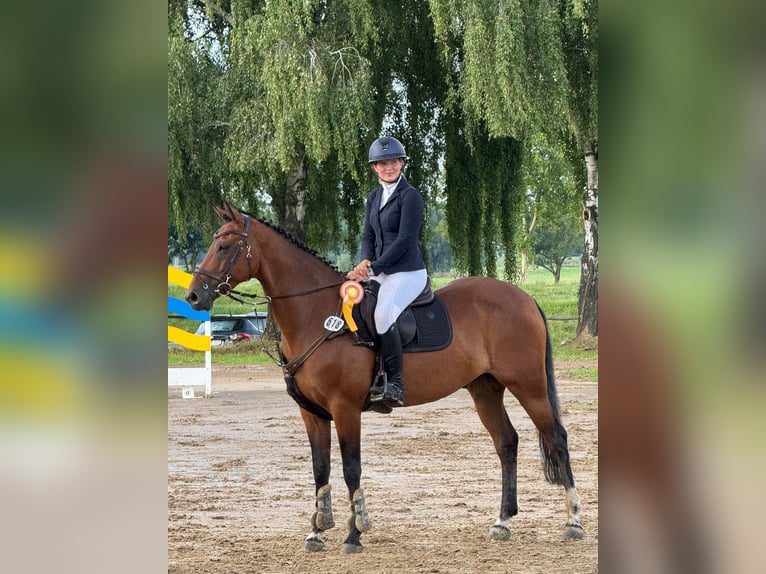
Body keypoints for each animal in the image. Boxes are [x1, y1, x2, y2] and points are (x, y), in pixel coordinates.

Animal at [185, 203, 584, 553]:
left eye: (223, 246)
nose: (193, 296)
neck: (317, 314)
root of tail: (524, 297)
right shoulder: (312, 413)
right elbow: (320, 470)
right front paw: (317, 532)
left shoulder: (345, 409)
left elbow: (351, 470)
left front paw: (354, 535)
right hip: (484, 389)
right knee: (507, 443)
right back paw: (503, 522)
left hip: (528, 386)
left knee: (557, 440)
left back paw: (573, 522)